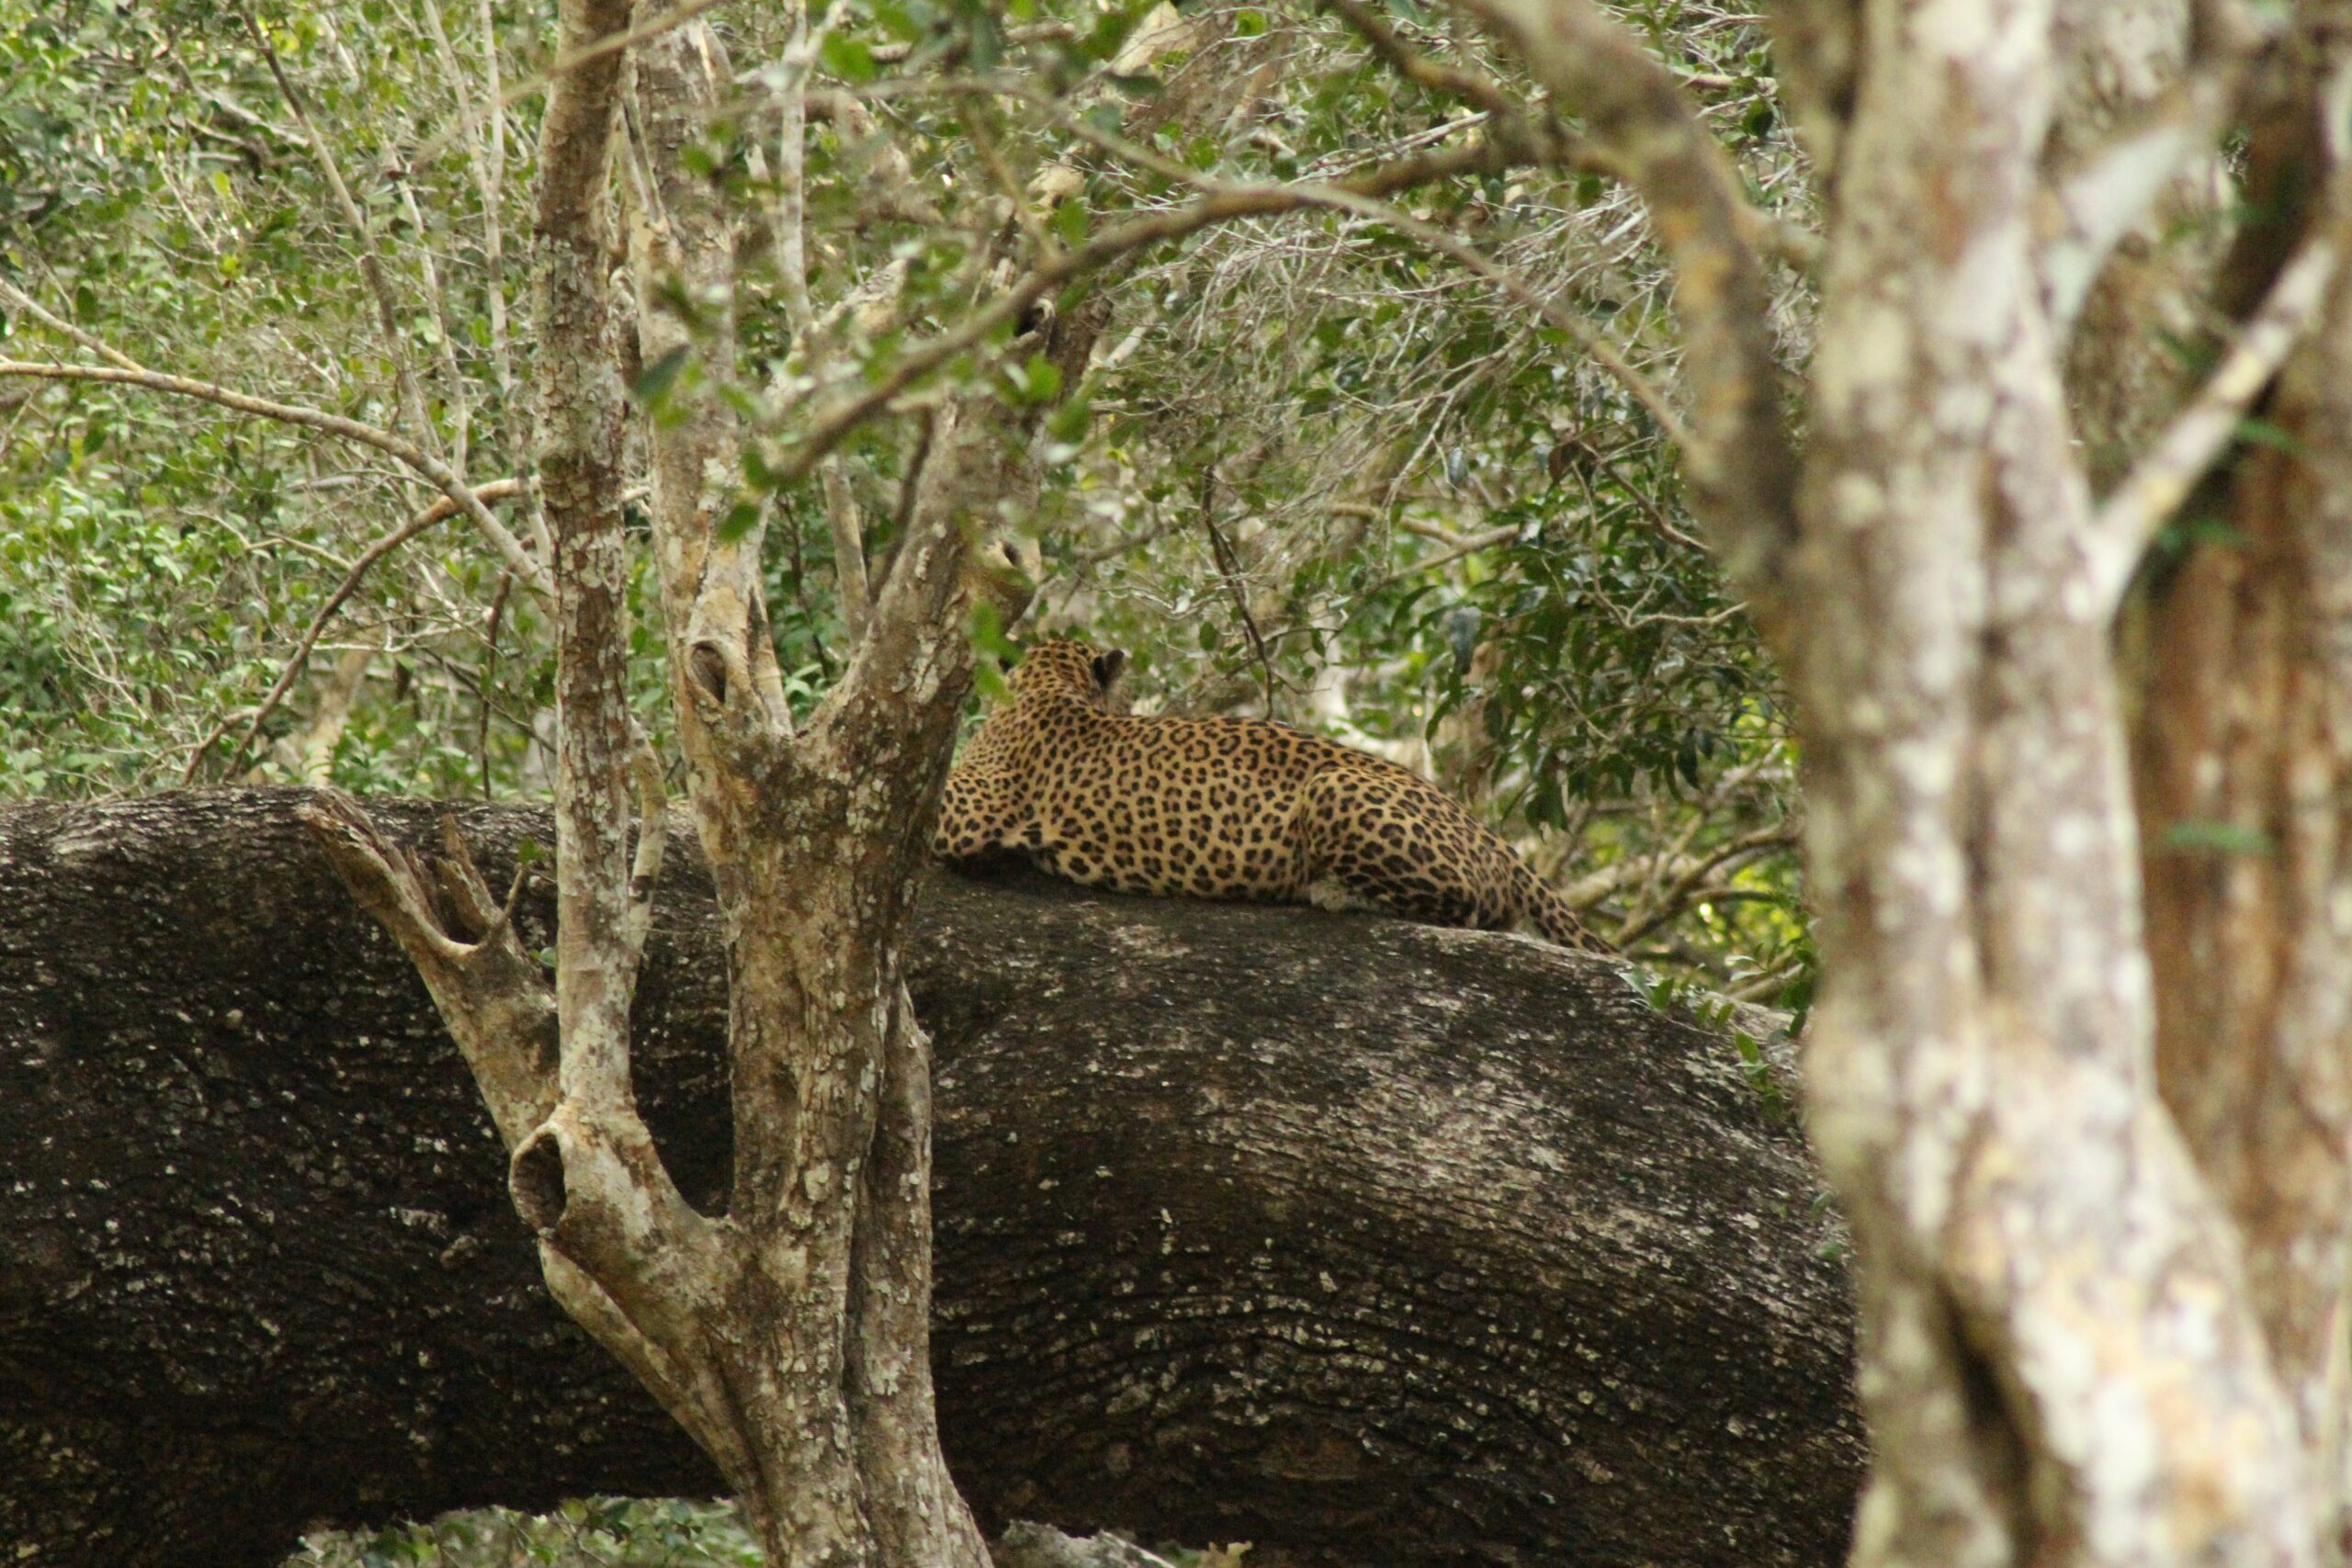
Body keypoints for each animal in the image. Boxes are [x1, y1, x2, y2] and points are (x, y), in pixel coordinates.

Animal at [935, 639, 1618, 959]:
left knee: (1472, 906)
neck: (1046, 683)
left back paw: (1332, 890)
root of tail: (1483, 829)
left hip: (1333, 790)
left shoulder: (966, 805)